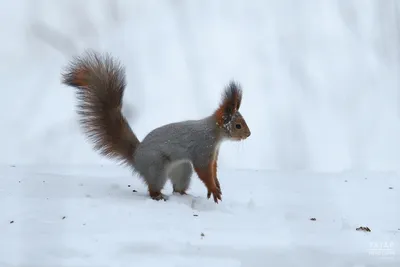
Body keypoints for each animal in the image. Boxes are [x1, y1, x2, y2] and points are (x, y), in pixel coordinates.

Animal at [61, 49, 252, 203]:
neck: (215, 133)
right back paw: (158, 196)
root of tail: (136, 157)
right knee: (153, 187)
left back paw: (184, 194)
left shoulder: (213, 154)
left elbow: (213, 170)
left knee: (177, 188)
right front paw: (213, 189)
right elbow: (204, 170)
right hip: (157, 167)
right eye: (238, 125)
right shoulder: (203, 148)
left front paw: (217, 185)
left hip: (182, 168)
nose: (249, 135)